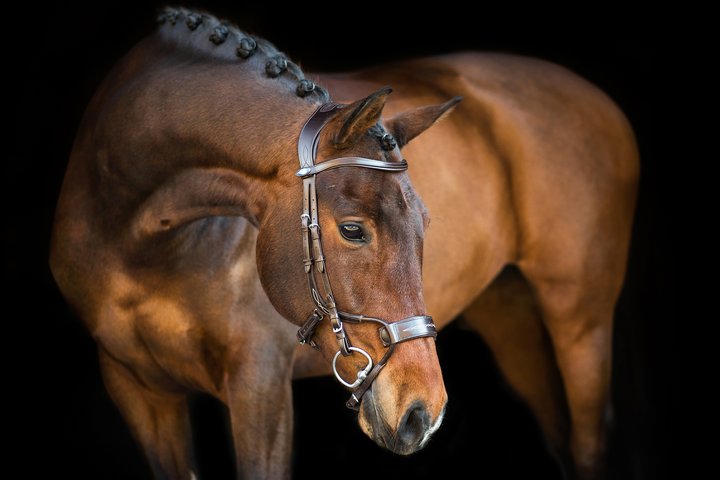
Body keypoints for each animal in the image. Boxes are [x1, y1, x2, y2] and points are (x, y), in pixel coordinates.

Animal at [49, 7, 636, 480]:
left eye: (426, 223)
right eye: (353, 229)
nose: (424, 414)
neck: (139, 241)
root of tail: (599, 100)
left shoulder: (260, 388)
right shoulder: (139, 391)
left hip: (581, 324)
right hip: (511, 317)